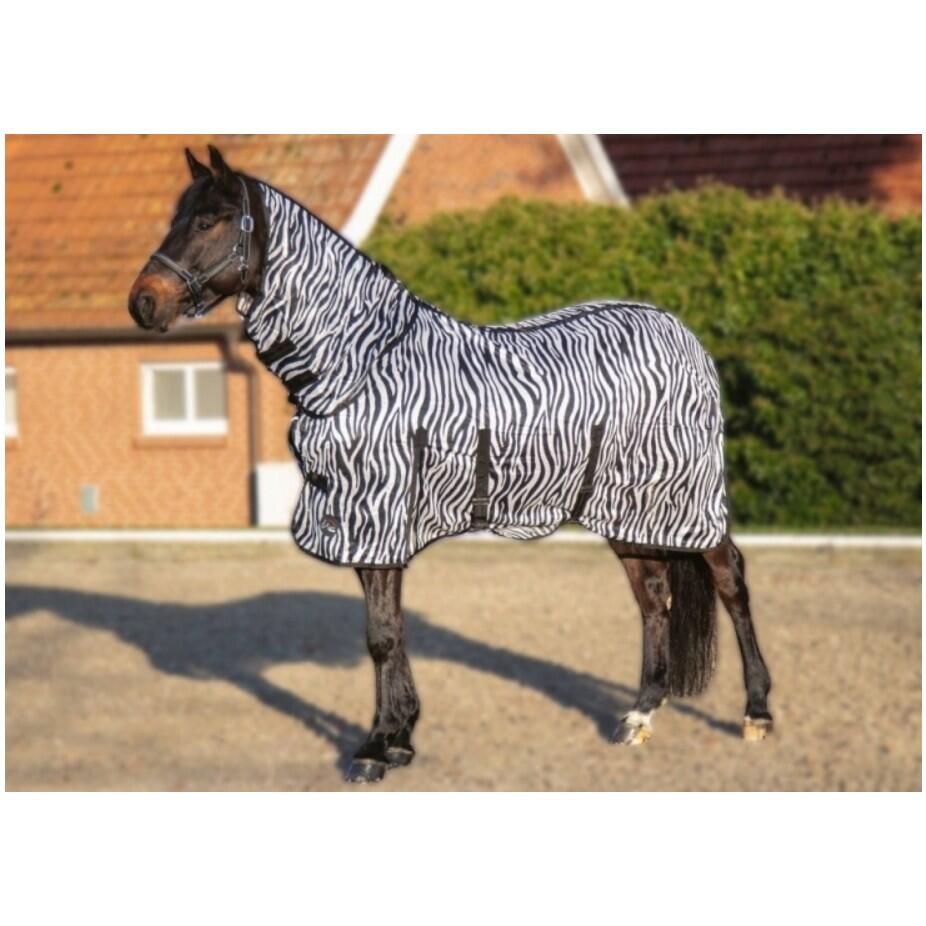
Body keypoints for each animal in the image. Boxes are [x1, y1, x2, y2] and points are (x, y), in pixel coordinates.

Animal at [130, 145, 773, 783]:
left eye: (209, 221)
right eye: (176, 215)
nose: (142, 302)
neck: (361, 366)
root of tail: (680, 332)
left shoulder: (378, 515)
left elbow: (381, 637)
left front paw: (374, 749)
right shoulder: (364, 526)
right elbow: (389, 631)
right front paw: (401, 739)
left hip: (686, 498)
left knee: (731, 581)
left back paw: (757, 713)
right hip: (628, 510)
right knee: (654, 599)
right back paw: (639, 716)